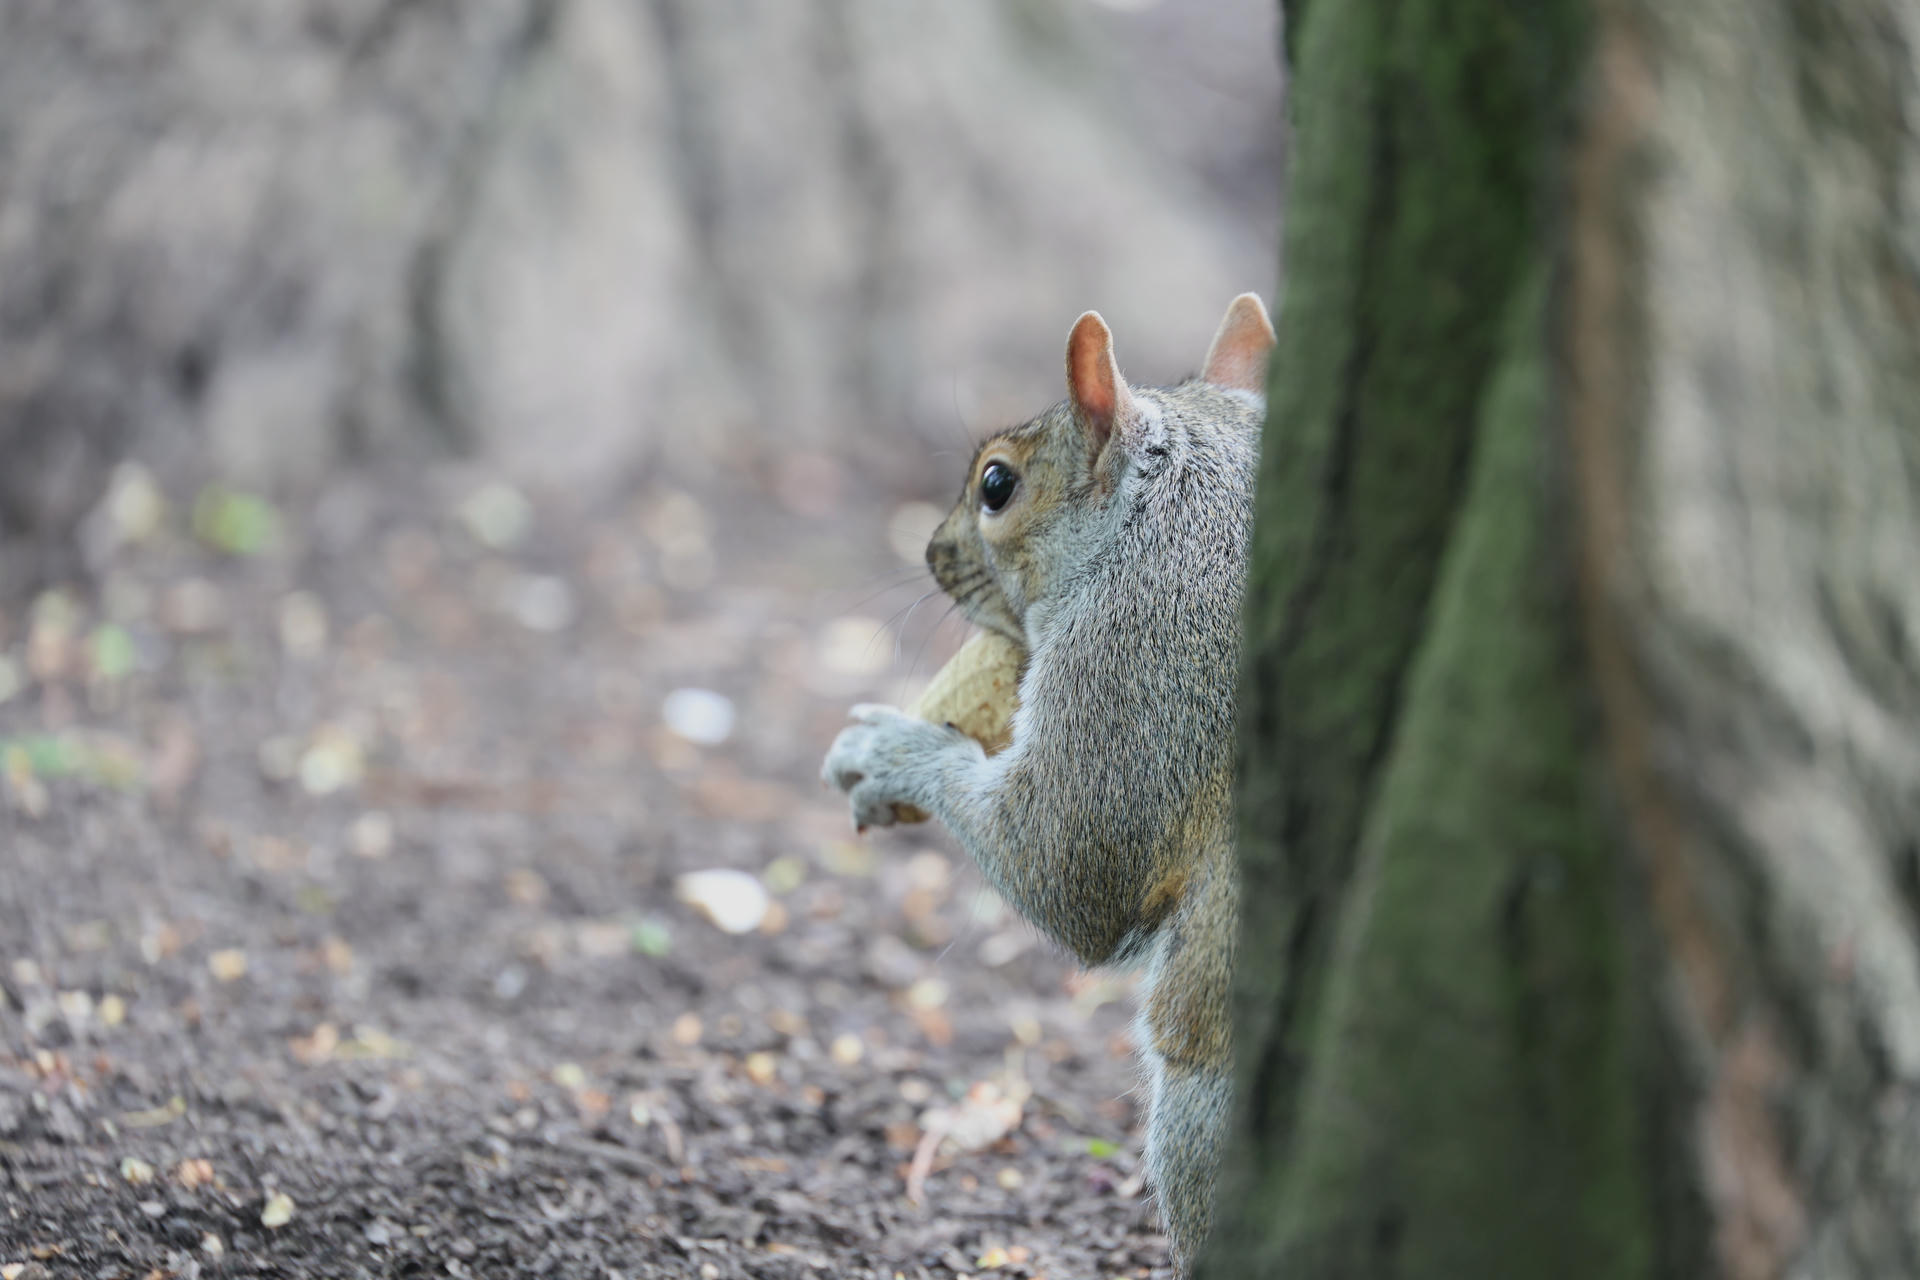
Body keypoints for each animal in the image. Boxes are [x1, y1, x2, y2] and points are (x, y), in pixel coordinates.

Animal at [822, 294, 1273, 1272]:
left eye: (997, 485)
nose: (932, 553)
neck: (1167, 511)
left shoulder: (1135, 659)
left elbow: (1063, 868)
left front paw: (885, 749)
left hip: (1201, 1122)